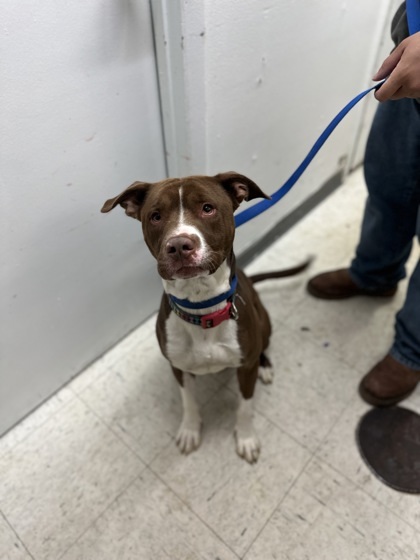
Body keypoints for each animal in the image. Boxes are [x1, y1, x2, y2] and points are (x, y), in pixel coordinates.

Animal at [102, 172, 308, 464]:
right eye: (155, 216)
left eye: (207, 208)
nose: (179, 245)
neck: (202, 309)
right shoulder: (178, 367)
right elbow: (189, 402)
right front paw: (190, 431)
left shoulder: (245, 369)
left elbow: (245, 407)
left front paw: (246, 438)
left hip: (264, 323)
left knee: (264, 347)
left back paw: (266, 366)